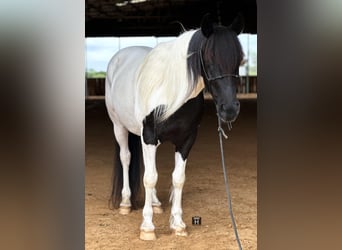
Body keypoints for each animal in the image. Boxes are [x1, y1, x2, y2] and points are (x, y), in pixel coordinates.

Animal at [105, 15, 244, 240]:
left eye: (239, 60)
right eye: (209, 58)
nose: (230, 109)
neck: (169, 91)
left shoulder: (186, 140)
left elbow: (177, 179)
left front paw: (178, 224)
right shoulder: (149, 136)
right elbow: (150, 178)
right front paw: (147, 227)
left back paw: (155, 203)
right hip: (119, 127)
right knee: (126, 158)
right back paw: (126, 203)